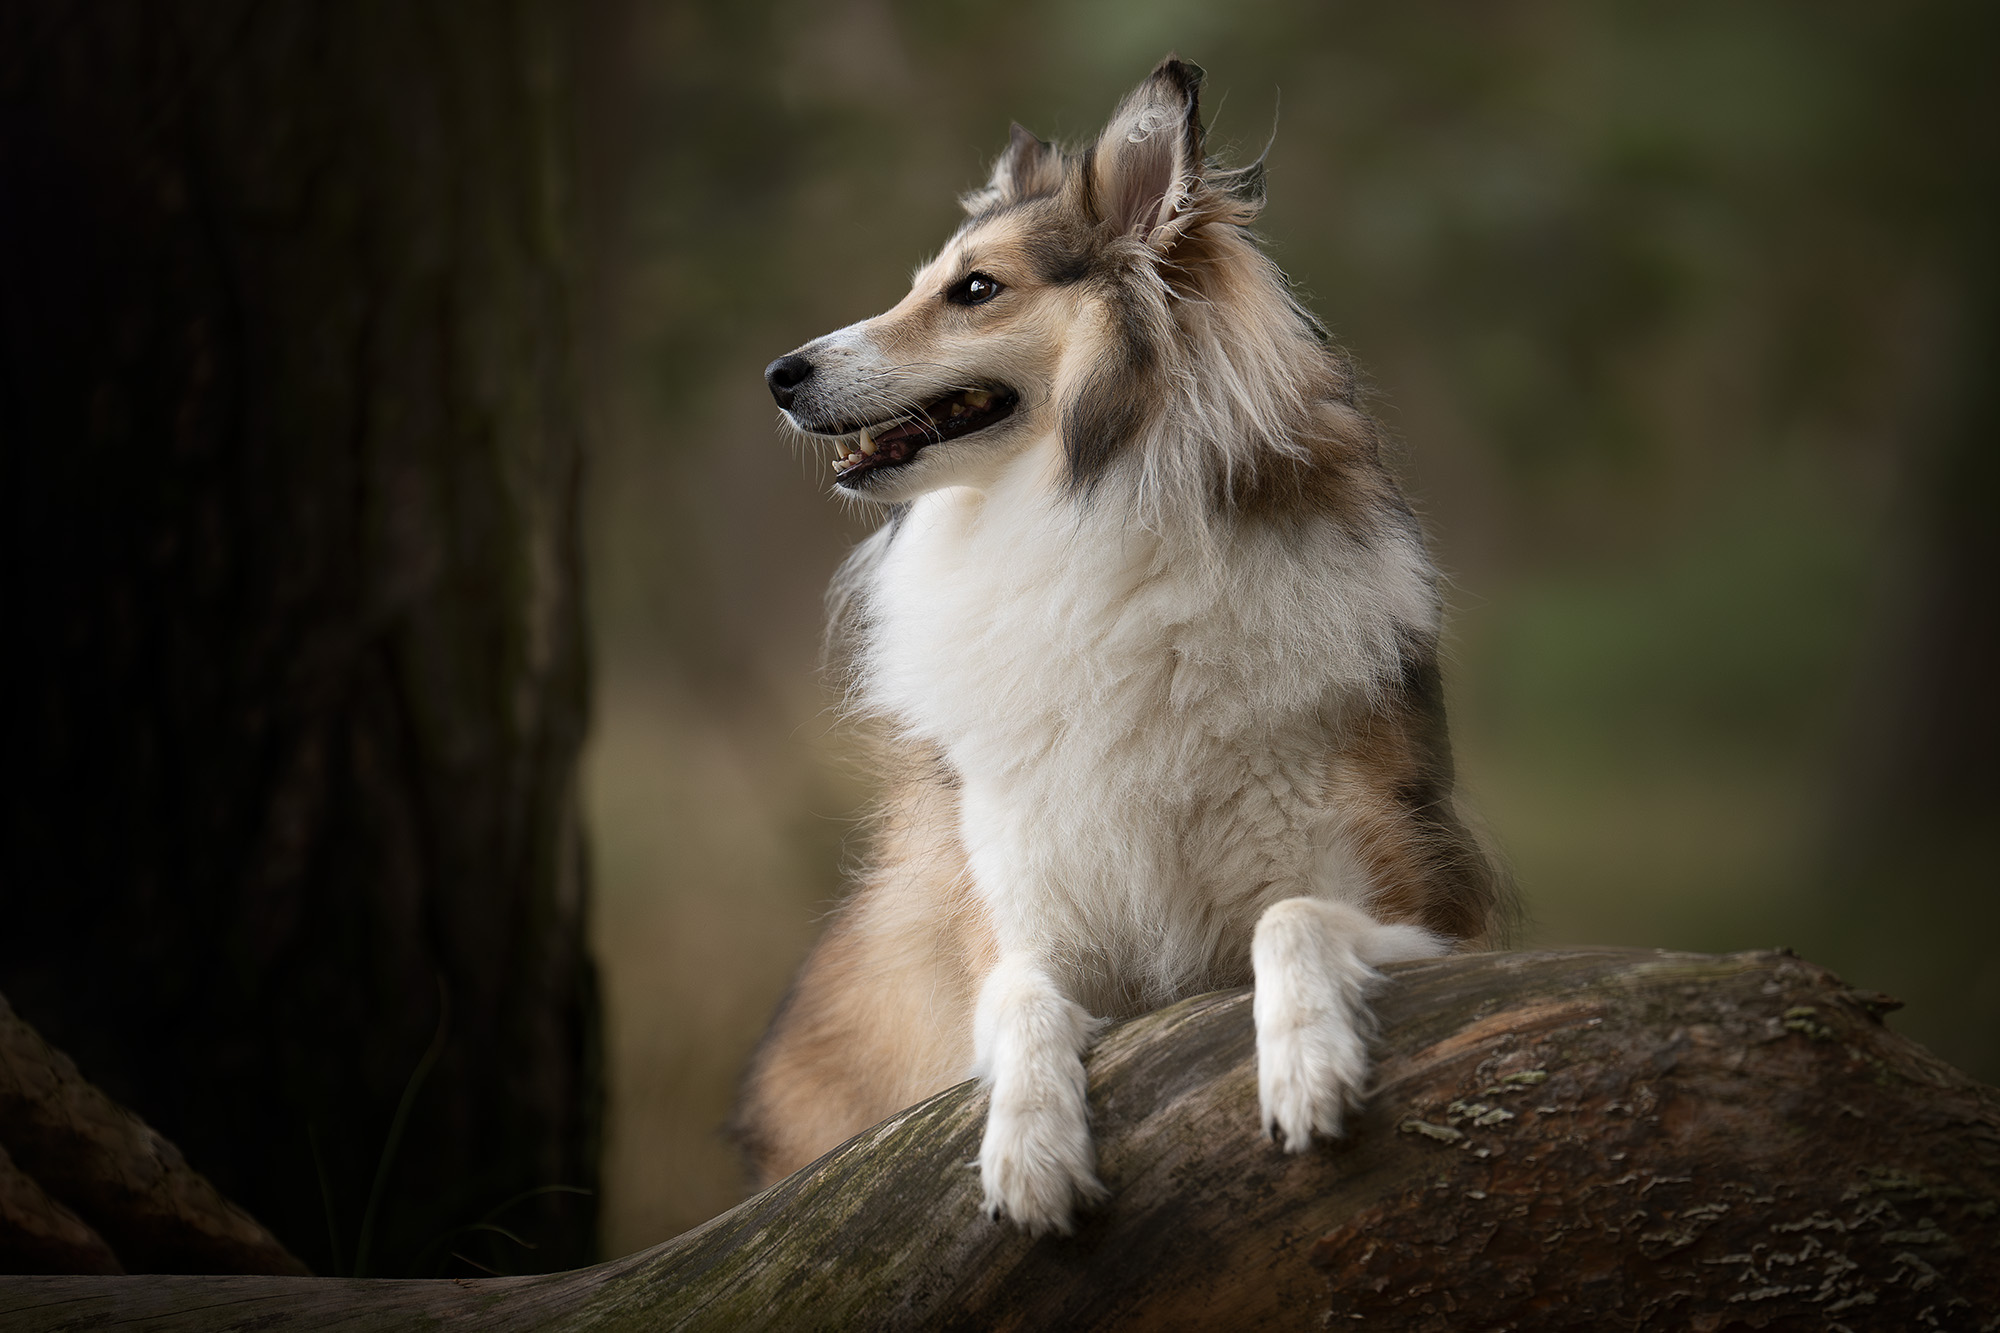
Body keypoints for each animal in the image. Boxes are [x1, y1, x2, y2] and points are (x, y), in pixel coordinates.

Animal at [736, 54, 1504, 1232]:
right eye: (925, 283)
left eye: (974, 289)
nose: (780, 374)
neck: (1081, 518)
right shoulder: (1015, 920)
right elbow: (1022, 999)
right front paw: (1030, 1148)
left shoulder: (1413, 901)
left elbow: (1293, 915)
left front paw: (1307, 1064)